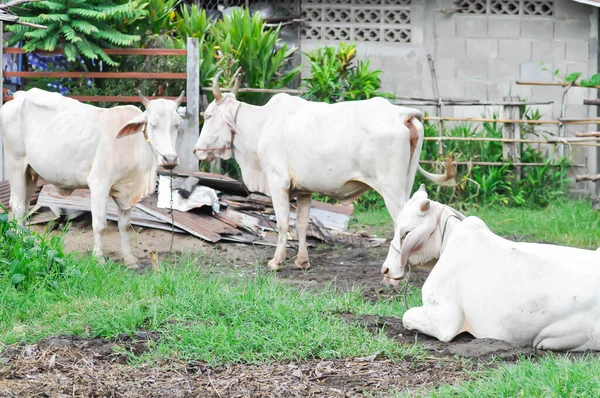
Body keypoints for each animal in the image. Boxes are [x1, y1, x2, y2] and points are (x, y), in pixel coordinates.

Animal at [1, 88, 184, 268]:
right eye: (152, 125)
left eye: (176, 125)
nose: (170, 158)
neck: (132, 144)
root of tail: (19, 96)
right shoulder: (99, 184)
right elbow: (100, 225)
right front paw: (99, 259)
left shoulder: (126, 191)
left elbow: (124, 225)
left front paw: (129, 258)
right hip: (16, 164)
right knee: (18, 207)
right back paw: (19, 242)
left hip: (31, 174)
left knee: (24, 206)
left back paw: (24, 240)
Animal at [193, 70, 454, 270]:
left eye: (208, 115)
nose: (197, 150)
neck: (263, 123)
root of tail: (402, 113)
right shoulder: (303, 190)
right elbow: (300, 224)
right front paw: (302, 261)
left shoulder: (278, 182)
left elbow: (282, 222)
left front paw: (276, 262)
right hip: (406, 183)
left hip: (392, 190)